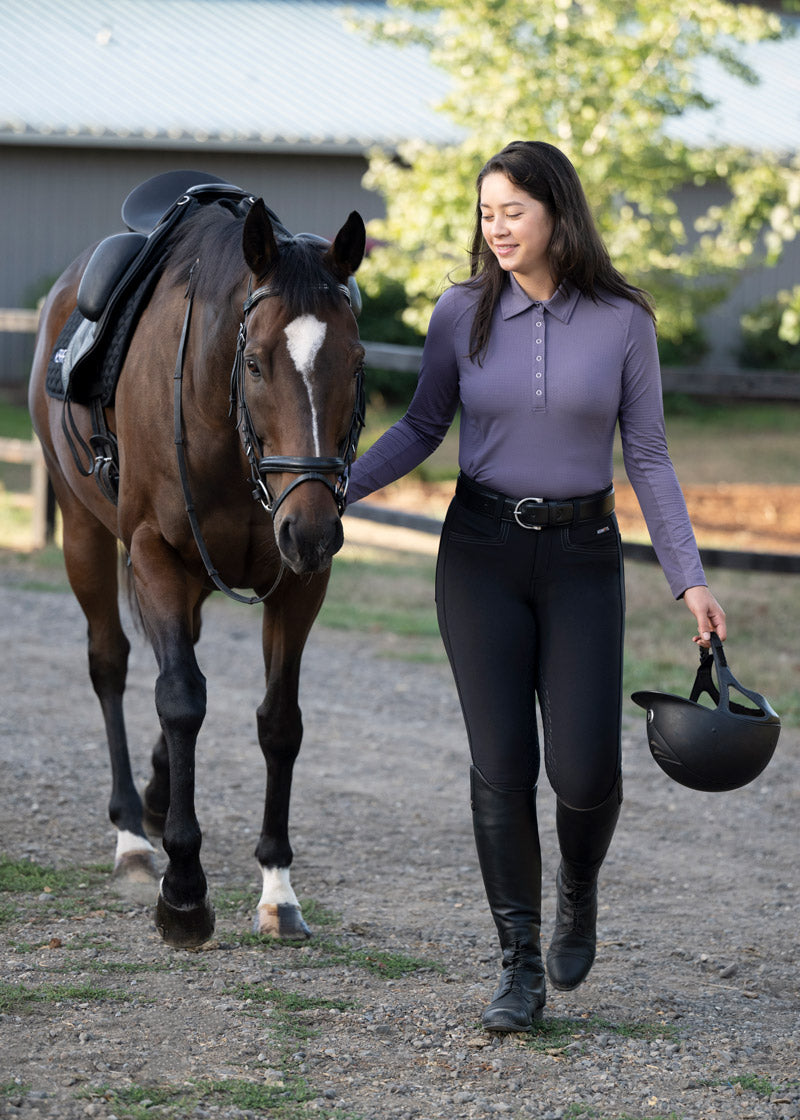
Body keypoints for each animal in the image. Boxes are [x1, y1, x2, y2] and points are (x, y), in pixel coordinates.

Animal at [28, 183, 366, 949]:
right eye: (256, 362)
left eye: (357, 361)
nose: (312, 529)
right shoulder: (154, 554)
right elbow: (181, 697)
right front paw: (183, 893)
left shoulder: (300, 583)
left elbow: (279, 720)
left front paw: (277, 889)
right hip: (85, 536)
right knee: (112, 663)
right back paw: (132, 832)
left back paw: (155, 798)